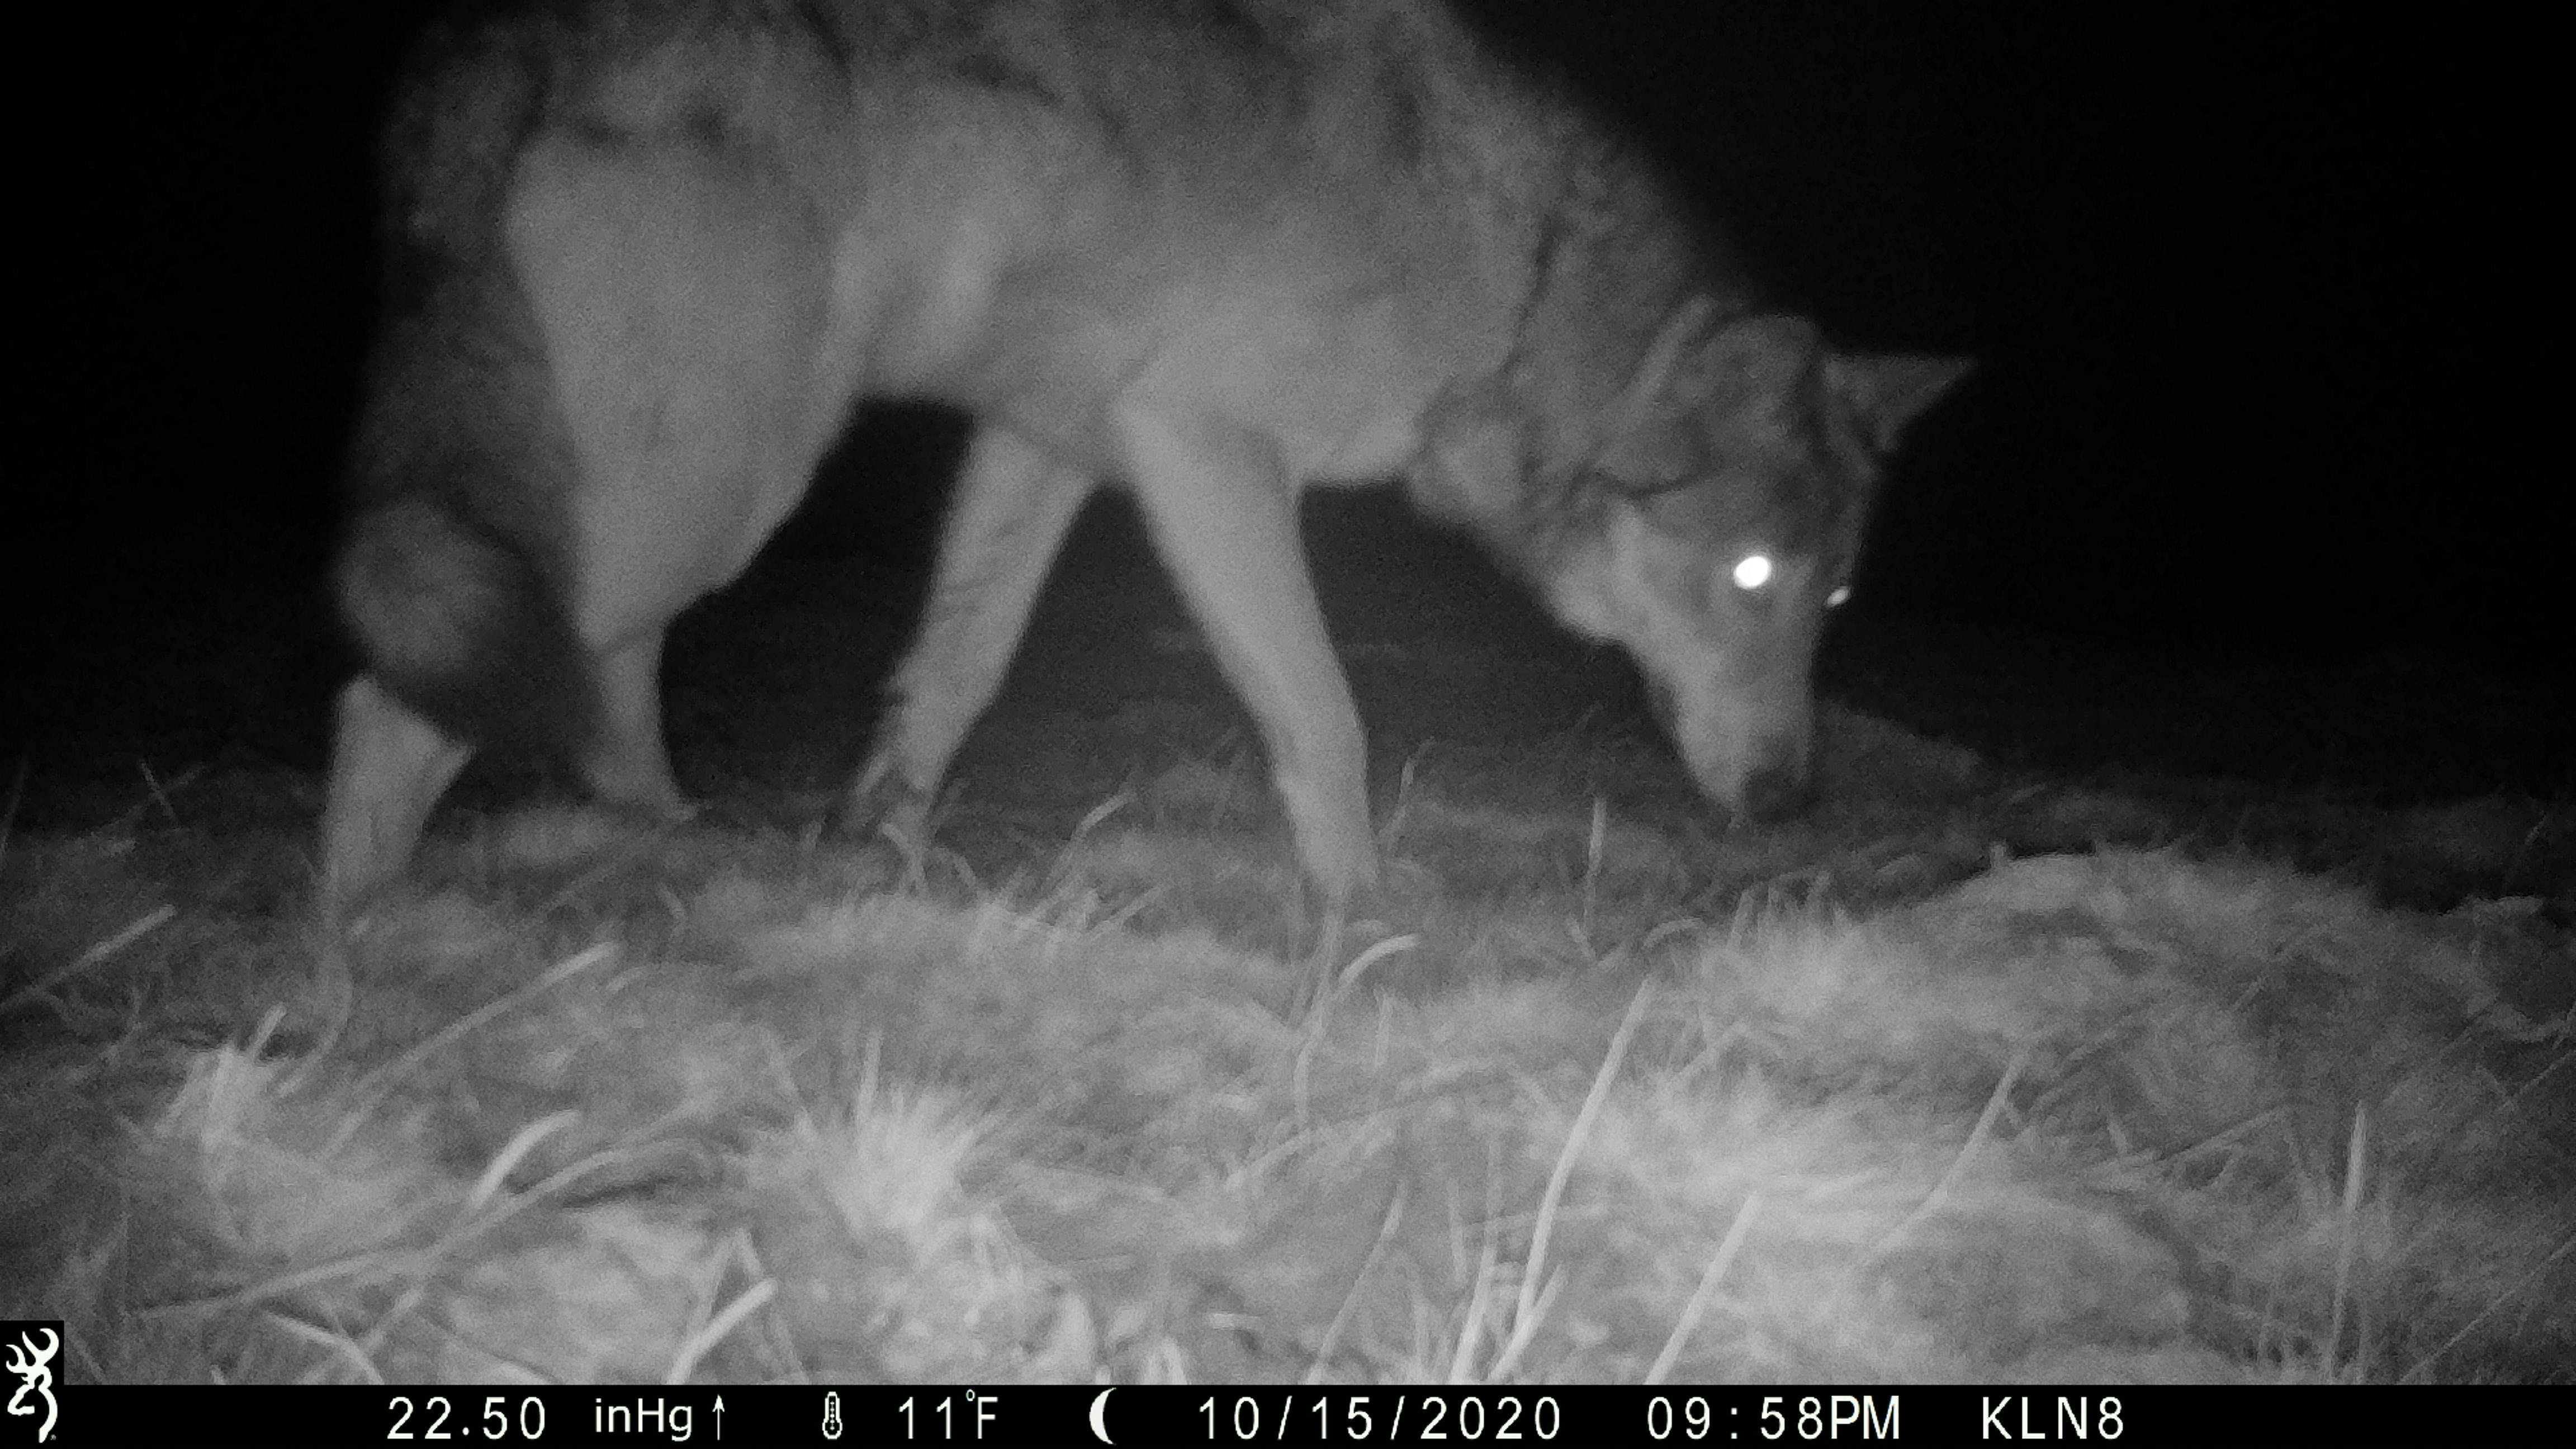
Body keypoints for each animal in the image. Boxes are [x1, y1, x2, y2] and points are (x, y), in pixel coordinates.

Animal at [320, 0, 1970, 915]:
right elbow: (1327, 717)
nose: (1790, 806)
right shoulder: (1203, 451)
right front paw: (1370, 922)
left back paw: (672, 851)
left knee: (604, 685)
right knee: (394, 702)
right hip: (709, 486)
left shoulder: (1047, 445)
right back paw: (350, 952)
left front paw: (880, 856)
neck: (1513, 277)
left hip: (685, 487)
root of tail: (484, 47)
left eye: (1829, 600)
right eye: (1749, 573)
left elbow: (954, 675)